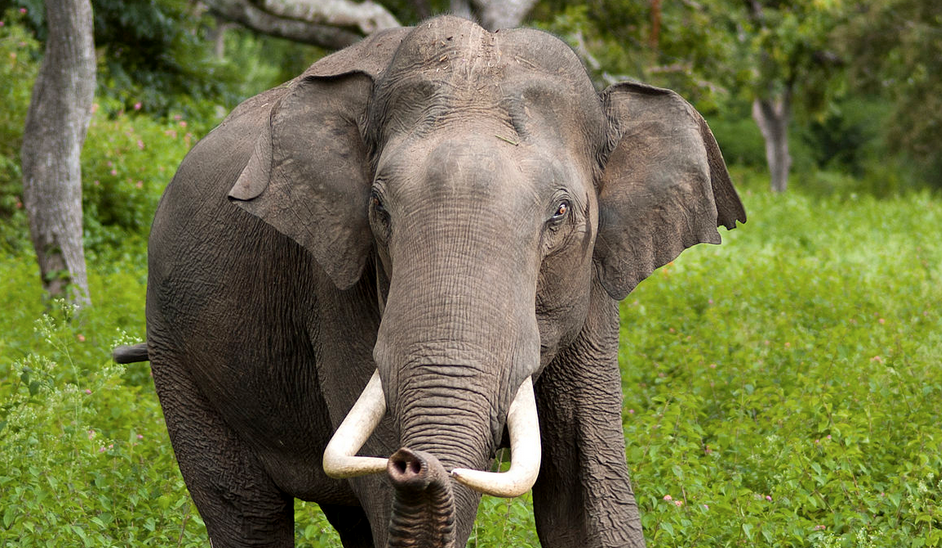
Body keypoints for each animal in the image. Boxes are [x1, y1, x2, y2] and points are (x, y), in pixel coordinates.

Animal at [120, 14, 746, 548]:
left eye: (561, 213)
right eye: (378, 206)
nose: (412, 461)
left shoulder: (592, 287)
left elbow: (584, 489)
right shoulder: (337, 287)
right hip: (174, 348)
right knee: (245, 510)